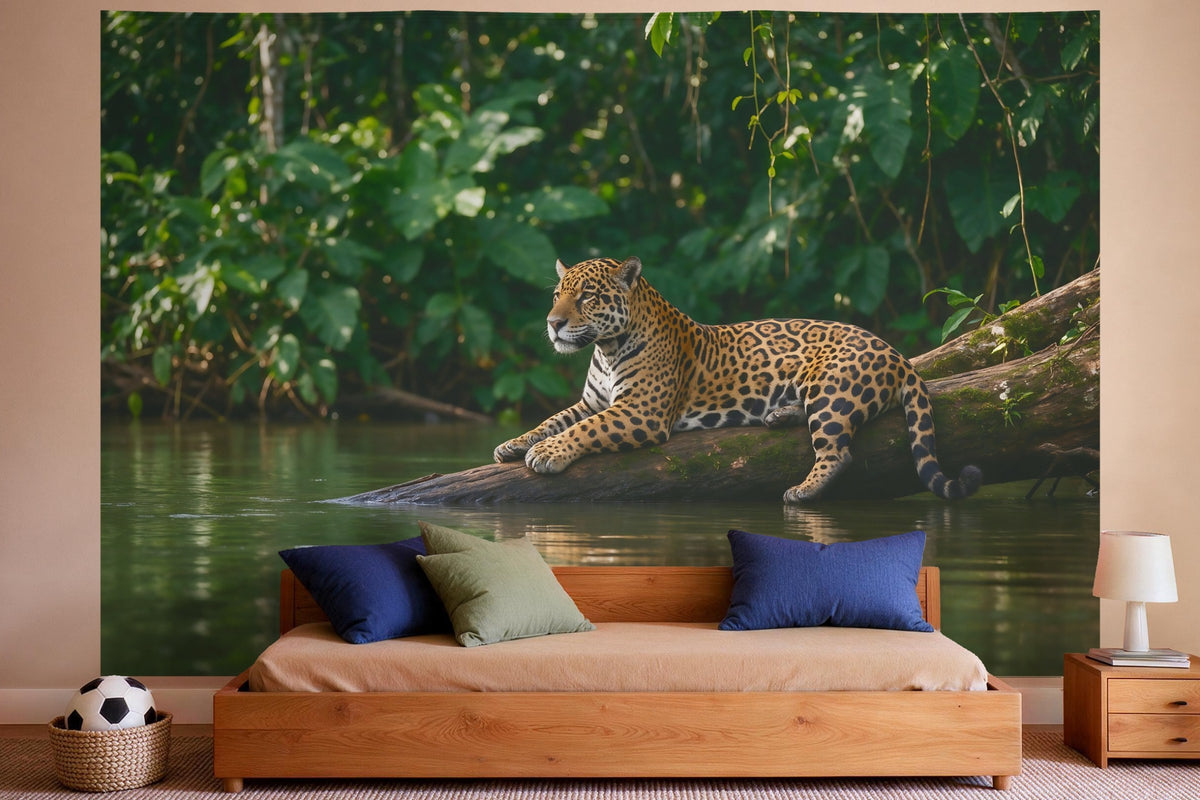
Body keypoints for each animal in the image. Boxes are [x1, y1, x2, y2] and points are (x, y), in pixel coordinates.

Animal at [494, 256, 982, 503]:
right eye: (557, 296)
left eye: (588, 297)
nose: (553, 324)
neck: (607, 348)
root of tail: (896, 353)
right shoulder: (593, 401)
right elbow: (554, 420)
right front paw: (514, 443)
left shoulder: (640, 412)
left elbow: (584, 430)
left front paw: (546, 454)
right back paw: (778, 415)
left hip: (831, 390)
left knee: (838, 452)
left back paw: (801, 491)